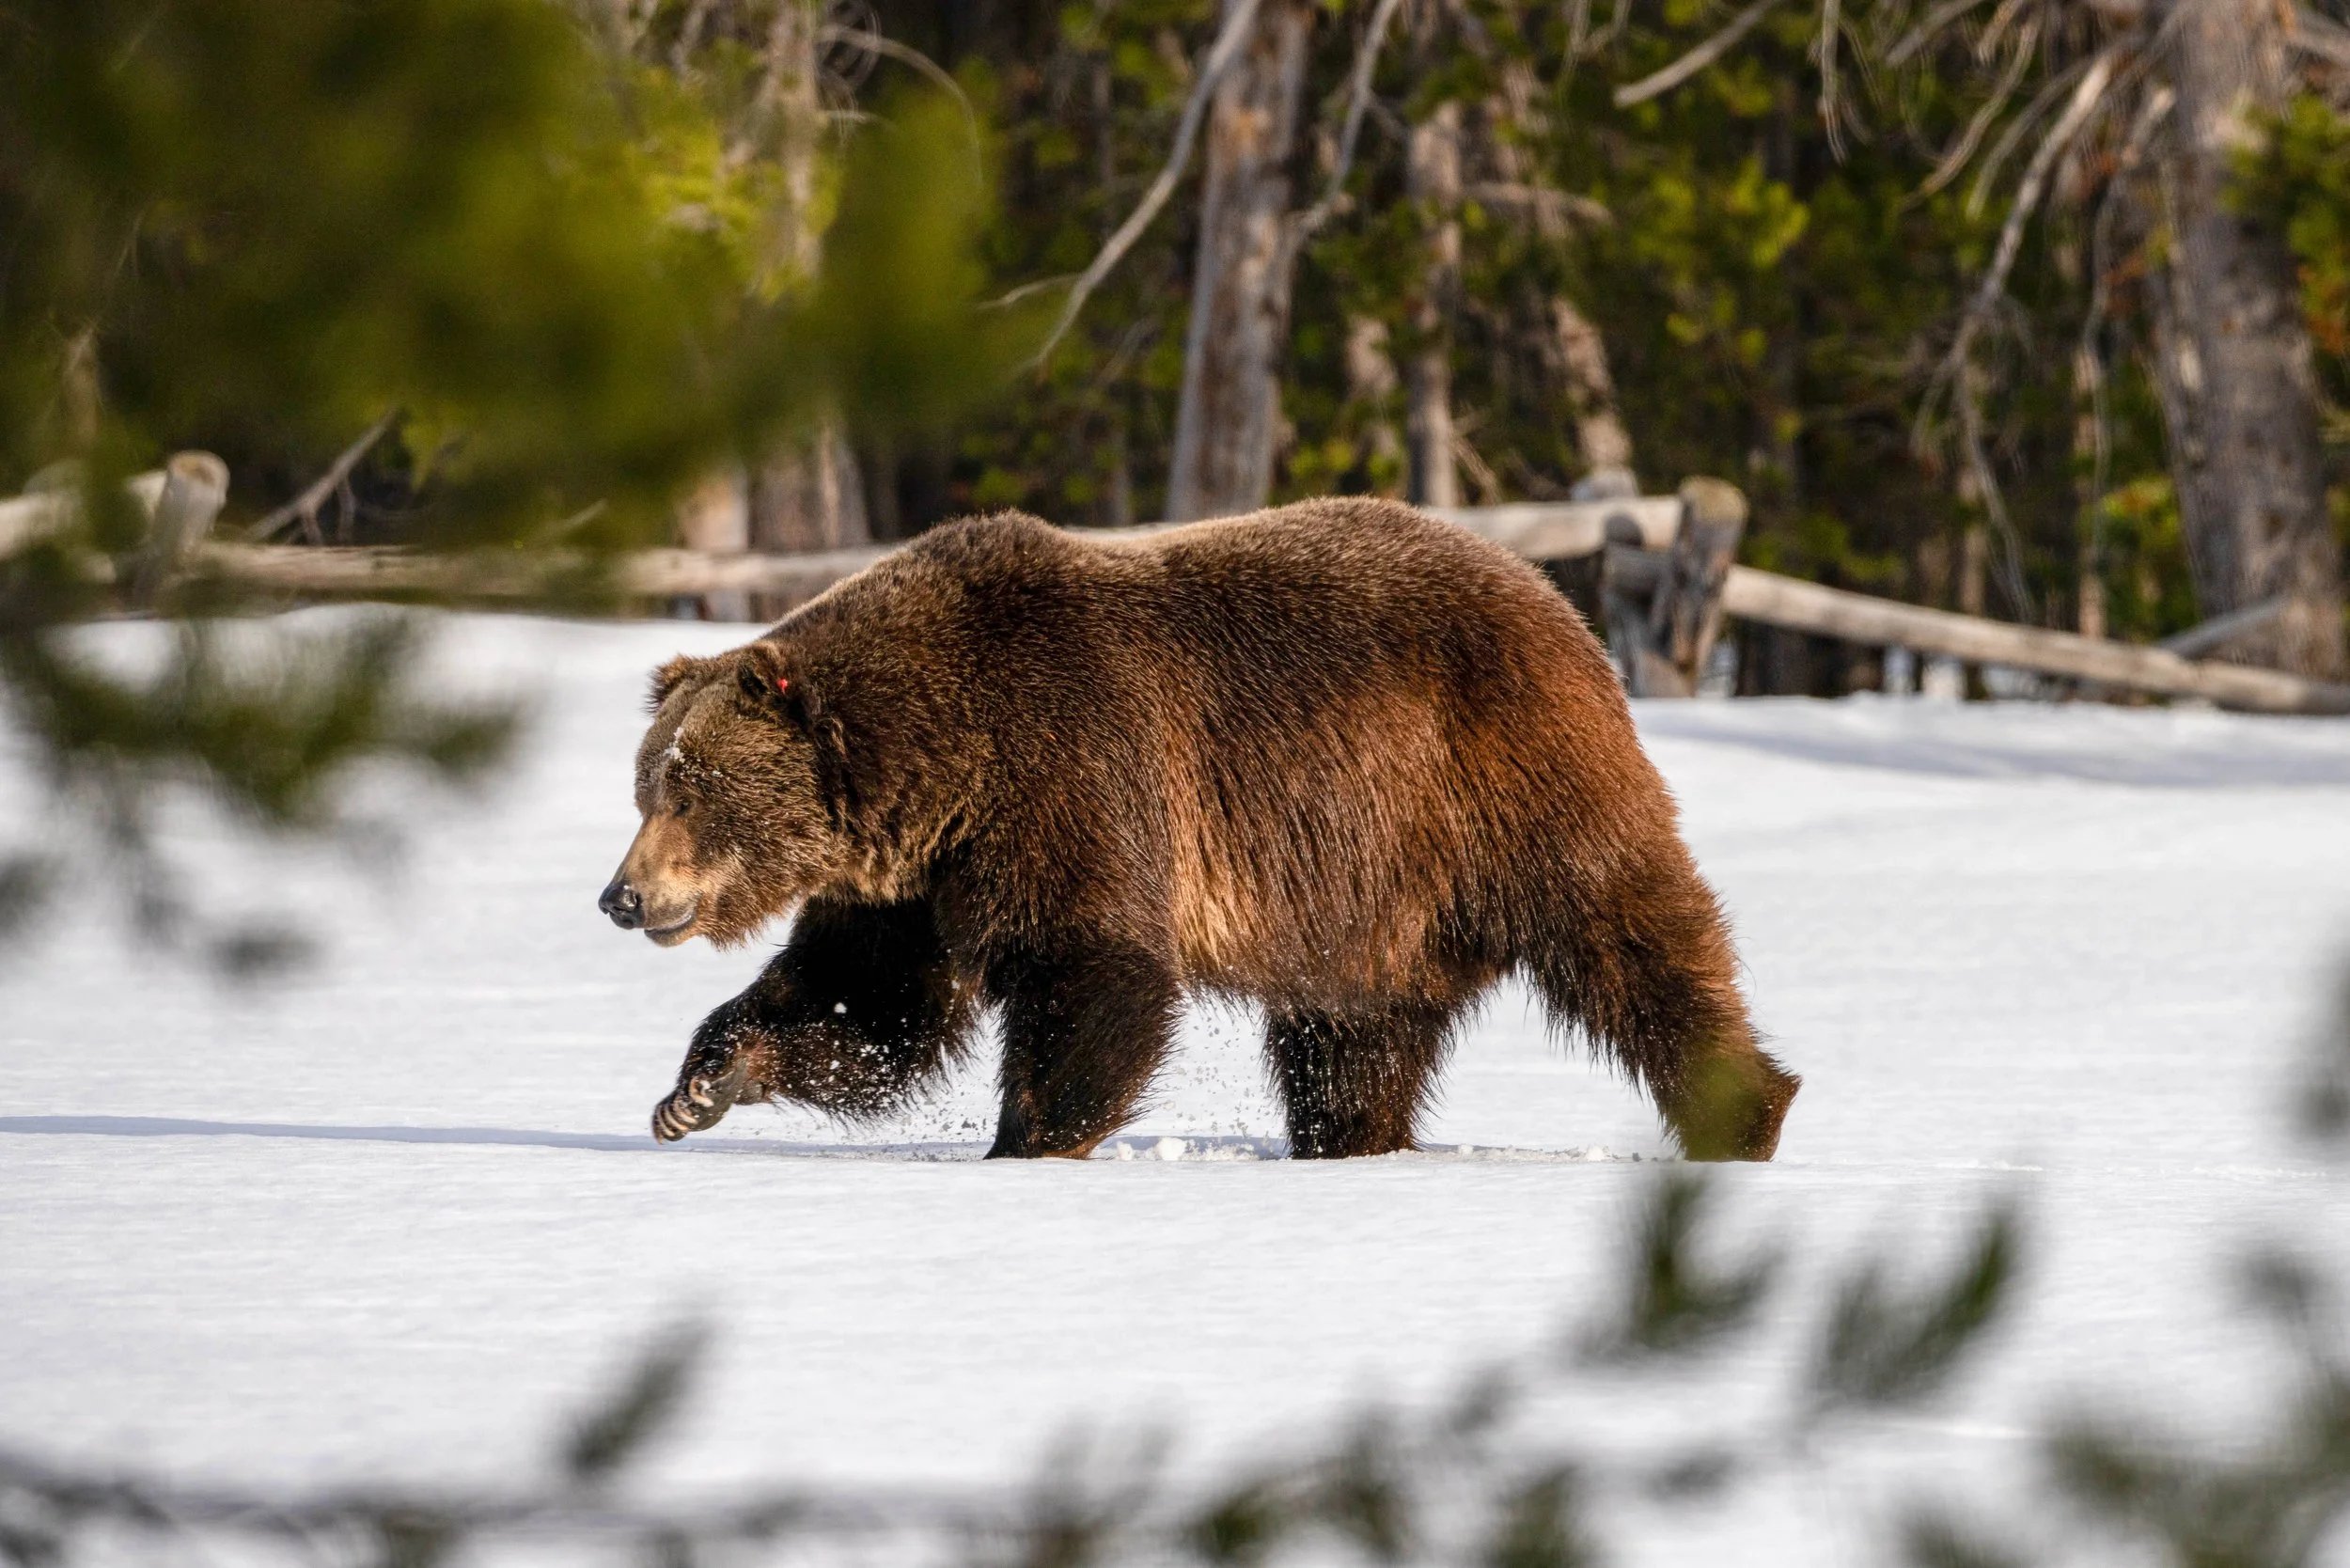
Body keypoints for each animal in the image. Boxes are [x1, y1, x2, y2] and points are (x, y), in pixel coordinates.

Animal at [598, 497, 1798, 1160]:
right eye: (646, 782)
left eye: (689, 785)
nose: (622, 896)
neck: (937, 766)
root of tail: (1554, 597)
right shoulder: (920, 879)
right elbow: (869, 1000)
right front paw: (699, 1087)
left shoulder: (1069, 771)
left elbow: (1092, 968)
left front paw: (1027, 1137)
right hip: (1369, 898)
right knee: (1349, 1039)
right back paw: (1345, 1143)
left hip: (1500, 787)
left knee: (1628, 937)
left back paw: (1744, 1108)